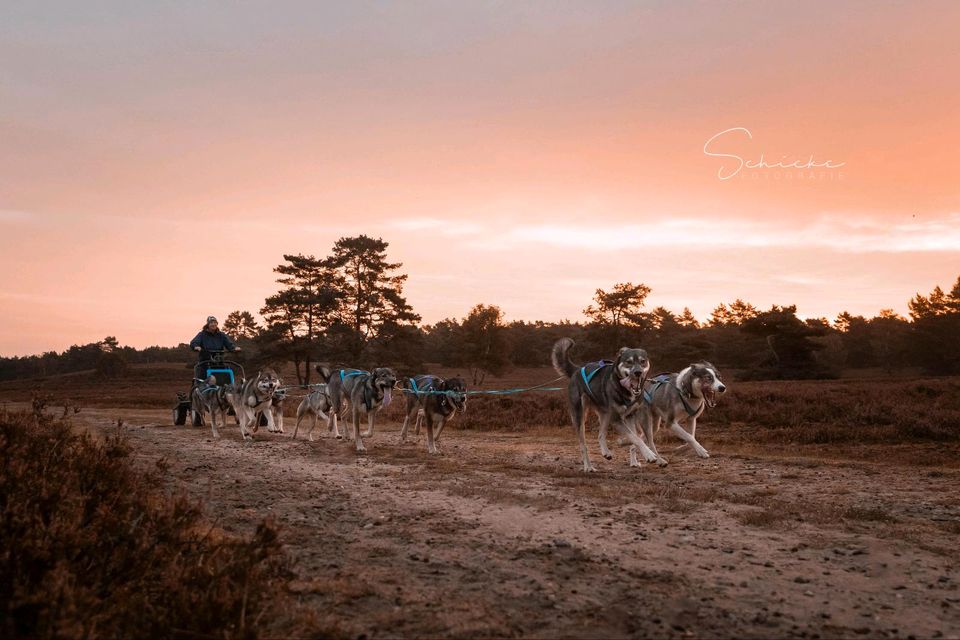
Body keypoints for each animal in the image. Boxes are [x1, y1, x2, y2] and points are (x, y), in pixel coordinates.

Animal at [556, 340, 660, 470]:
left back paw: (606, 452)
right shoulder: (616, 420)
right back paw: (588, 466)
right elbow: (635, 438)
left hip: (606, 415)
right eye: (629, 362)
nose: (638, 372)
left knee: (600, 435)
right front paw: (649, 455)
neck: (624, 389)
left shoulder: (630, 416)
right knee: (583, 445)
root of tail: (578, 369)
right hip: (580, 416)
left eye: (642, 361)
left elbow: (635, 438)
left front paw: (634, 460)